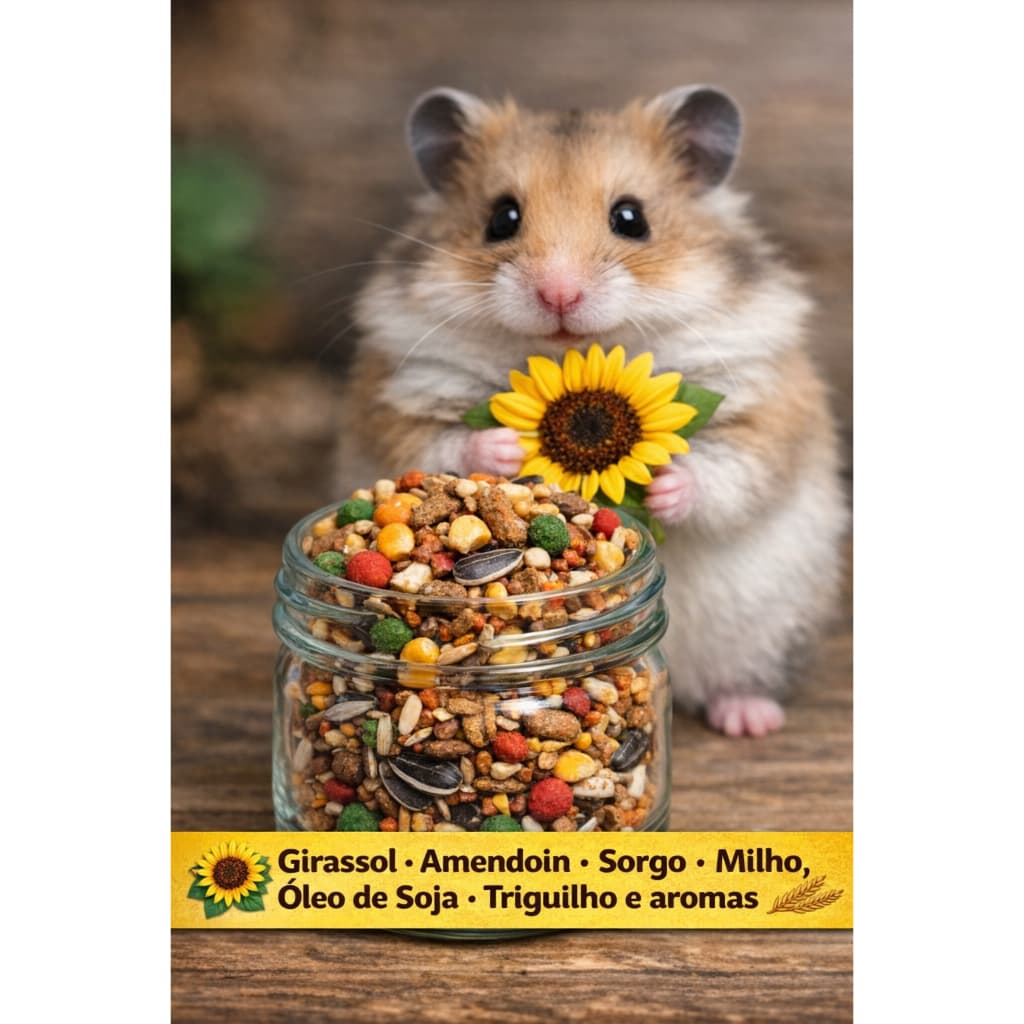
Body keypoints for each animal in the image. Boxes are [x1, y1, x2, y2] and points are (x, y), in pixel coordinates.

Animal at [335, 86, 847, 737]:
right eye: (501, 218)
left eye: (631, 218)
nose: (559, 293)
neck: (568, 352)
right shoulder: (396, 394)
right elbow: (435, 444)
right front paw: (503, 449)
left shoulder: (769, 404)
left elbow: (731, 469)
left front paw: (663, 488)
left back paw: (749, 719)